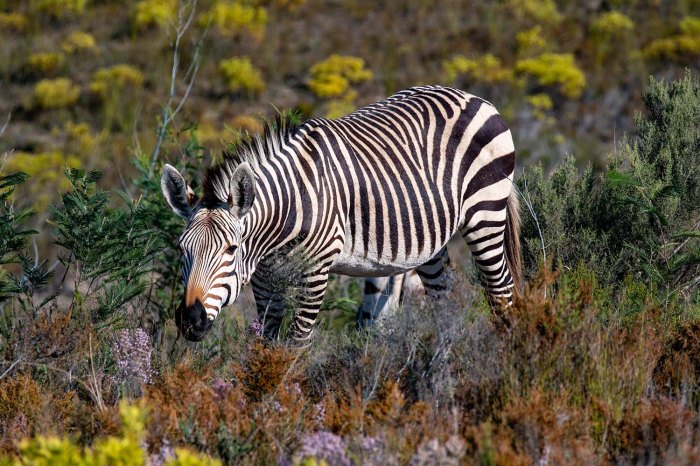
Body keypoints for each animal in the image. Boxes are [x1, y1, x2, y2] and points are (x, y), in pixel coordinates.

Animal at [161, 85, 521, 342]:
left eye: (231, 249)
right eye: (182, 249)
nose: (190, 321)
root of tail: (473, 97)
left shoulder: (316, 273)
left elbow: (296, 343)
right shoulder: (264, 279)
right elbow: (266, 344)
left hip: (485, 213)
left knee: (501, 290)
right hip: (432, 240)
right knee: (443, 297)